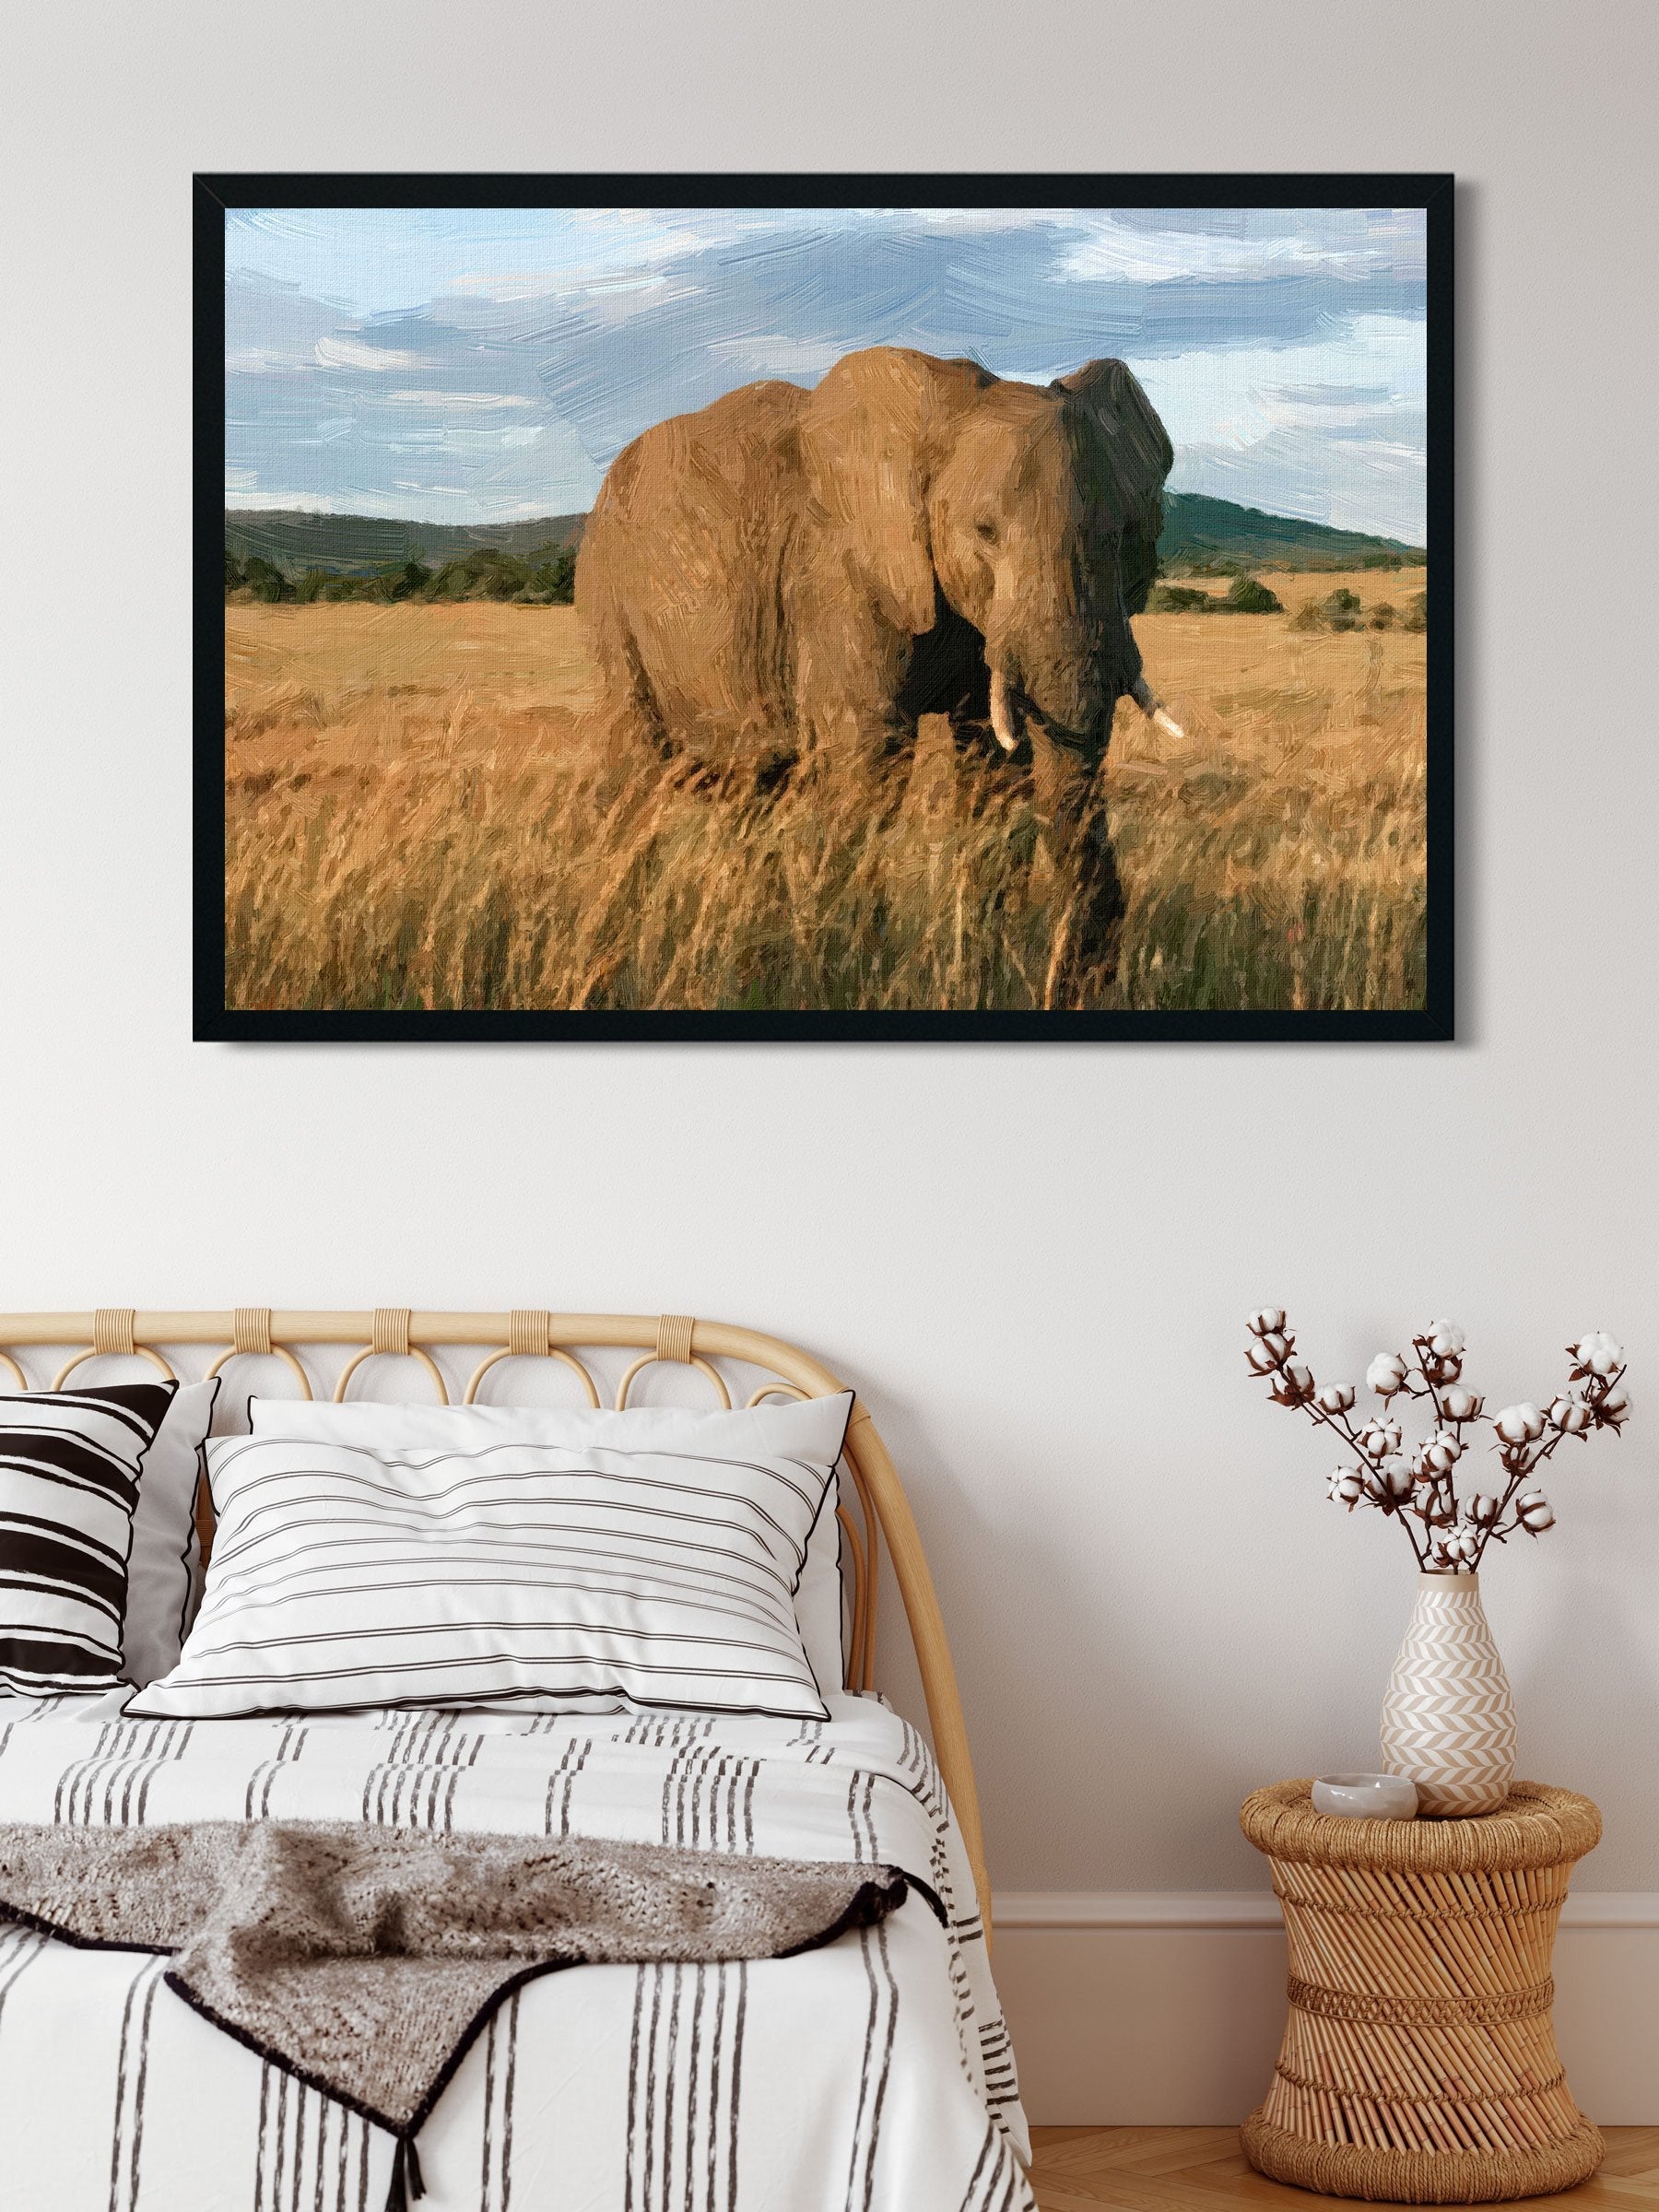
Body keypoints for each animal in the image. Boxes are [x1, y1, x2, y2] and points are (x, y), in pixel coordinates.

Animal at [575, 344, 1179, 987]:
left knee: (755, 794)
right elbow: (869, 761)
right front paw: (841, 976)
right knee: (635, 774)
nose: (1086, 980)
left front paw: (977, 978)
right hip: (608, 600)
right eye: (984, 531)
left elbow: (992, 771)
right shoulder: (837, 574)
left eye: (1124, 535)